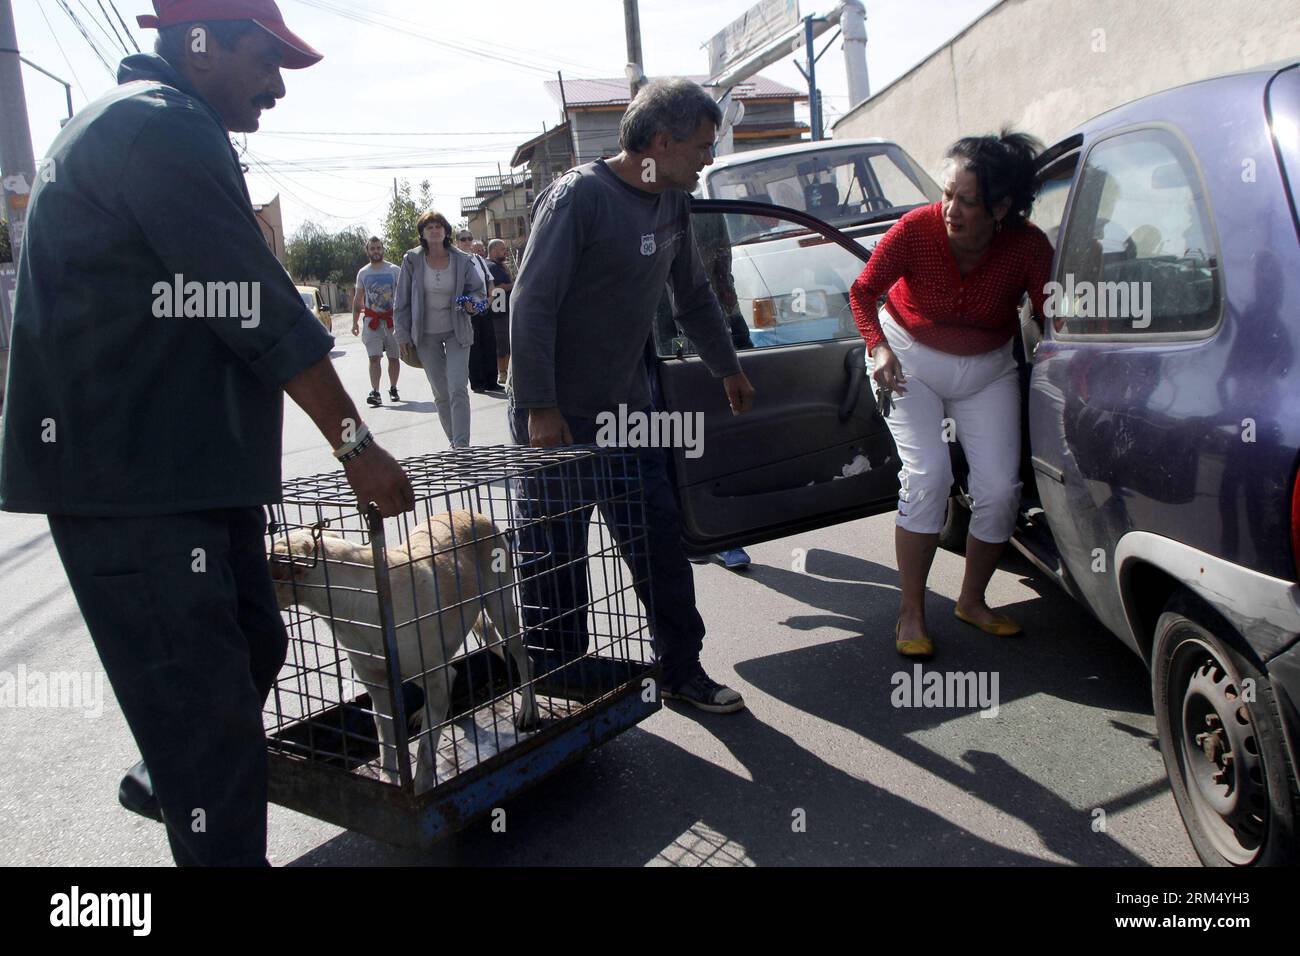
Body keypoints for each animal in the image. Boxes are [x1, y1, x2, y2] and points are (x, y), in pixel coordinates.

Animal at [269, 512, 538, 796]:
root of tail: (471, 513)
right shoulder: (379, 688)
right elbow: (387, 748)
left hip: (500, 607)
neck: (357, 600)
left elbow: (425, 750)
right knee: (456, 669)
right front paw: (389, 784)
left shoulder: (433, 678)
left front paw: (421, 789)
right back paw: (424, 712)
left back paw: (528, 709)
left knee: (523, 658)